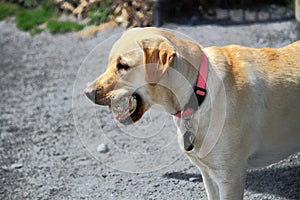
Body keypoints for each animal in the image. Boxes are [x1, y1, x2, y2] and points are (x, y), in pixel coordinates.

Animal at [84, 27, 300, 200]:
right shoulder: (208, 175)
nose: (87, 92)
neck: (198, 91)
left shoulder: (230, 177)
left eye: (123, 66)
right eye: (110, 63)